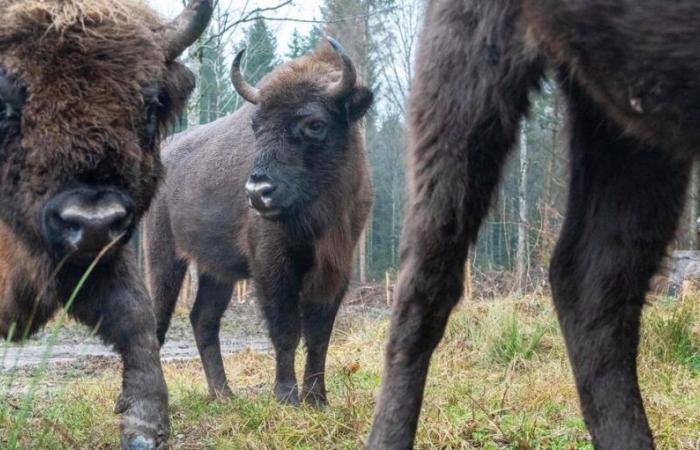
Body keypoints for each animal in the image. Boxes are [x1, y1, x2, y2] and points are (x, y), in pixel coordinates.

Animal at [0, 1, 212, 448]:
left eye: (149, 106)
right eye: (6, 100)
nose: (93, 221)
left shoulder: (95, 261)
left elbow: (136, 317)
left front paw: (144, 429)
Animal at [141, 38, 372, 404]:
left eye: (315, 124)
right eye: (256, 126)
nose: (258, 191)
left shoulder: (336, 264)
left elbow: (320, 334)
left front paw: (317, 398)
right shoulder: (271, 264)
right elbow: (286, 329)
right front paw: (287, 396)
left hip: (216, 272)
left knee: (203, 319)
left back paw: (223, 394)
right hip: (163, 256)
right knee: (159, 319)